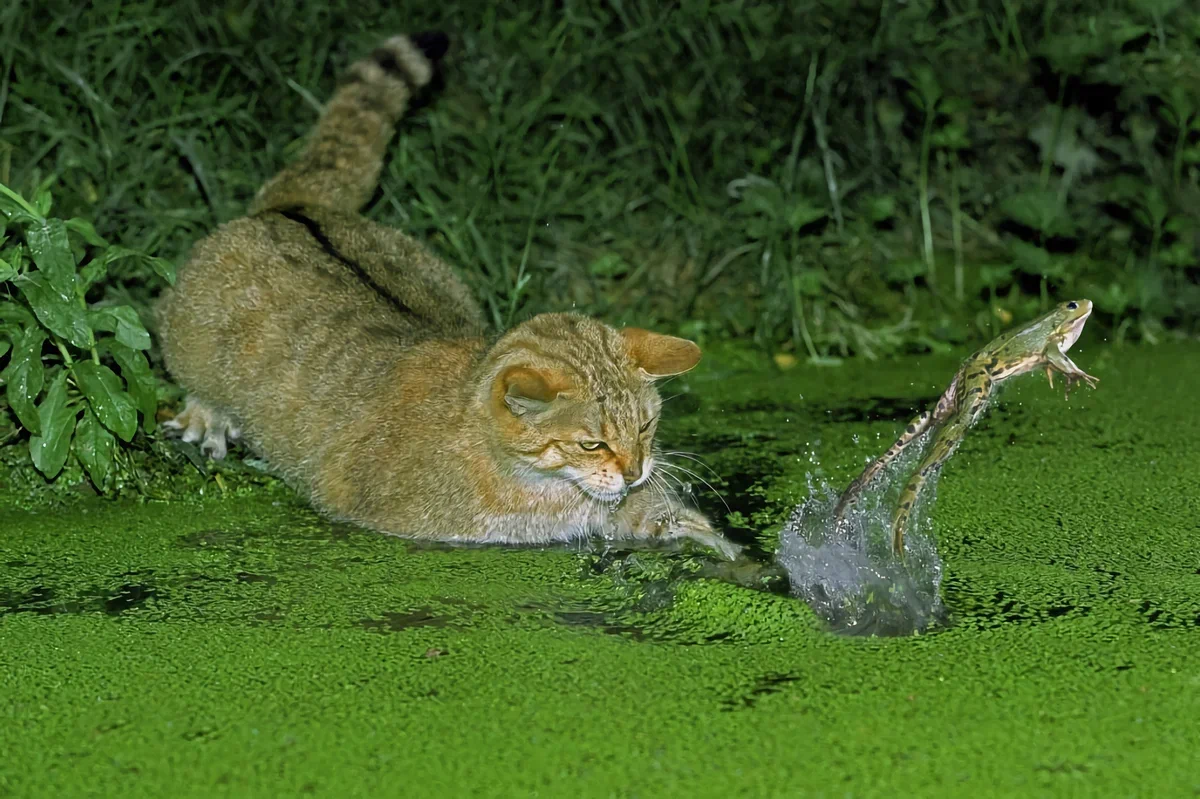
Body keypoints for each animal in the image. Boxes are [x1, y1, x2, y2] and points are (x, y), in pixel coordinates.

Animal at [157, 29, 739, 554]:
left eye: (646, 426)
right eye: (591, 443)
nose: (637, 471)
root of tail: (296, 208)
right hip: (185, 336)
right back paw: (208, 414)